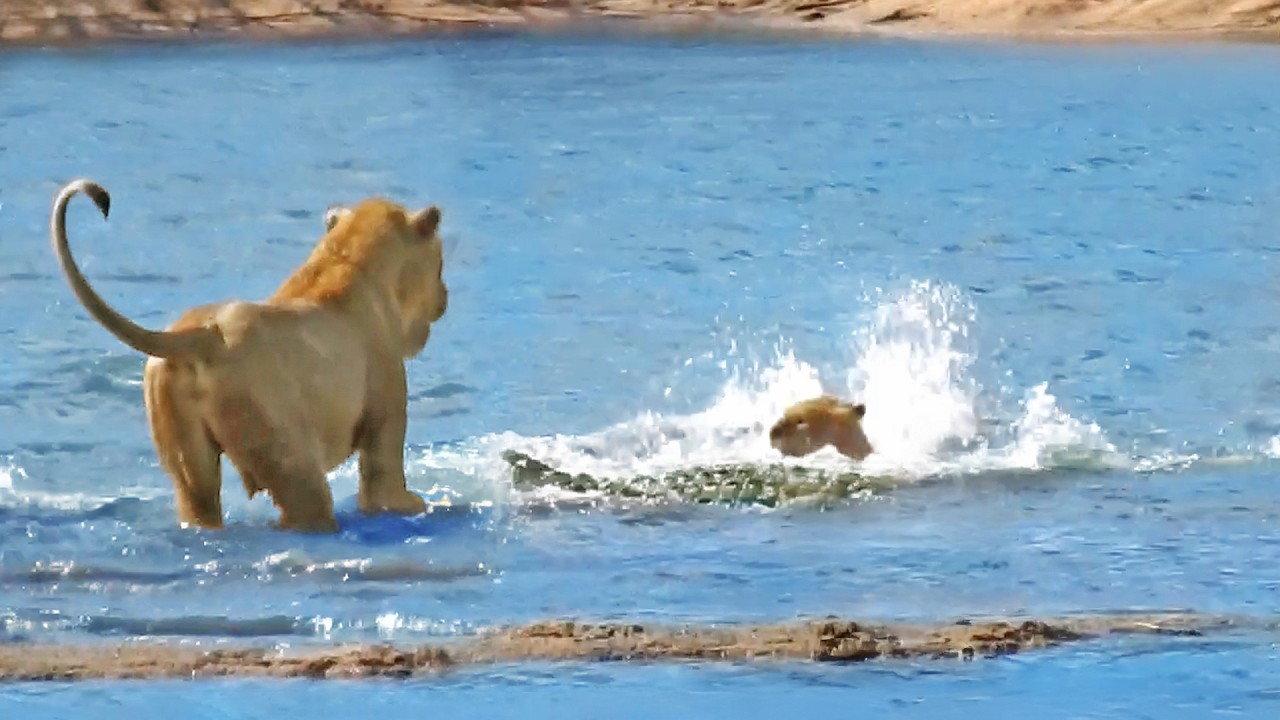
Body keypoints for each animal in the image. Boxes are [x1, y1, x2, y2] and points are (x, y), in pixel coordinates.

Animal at [50, 179, 449, 533]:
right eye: (441, 261)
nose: (445, 296)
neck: (348, 263)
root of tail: (200, 337)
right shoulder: (386, 409)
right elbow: (385, 488)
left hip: (183, 448)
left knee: (198, 501)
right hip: (284, 444)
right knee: (306, 503)